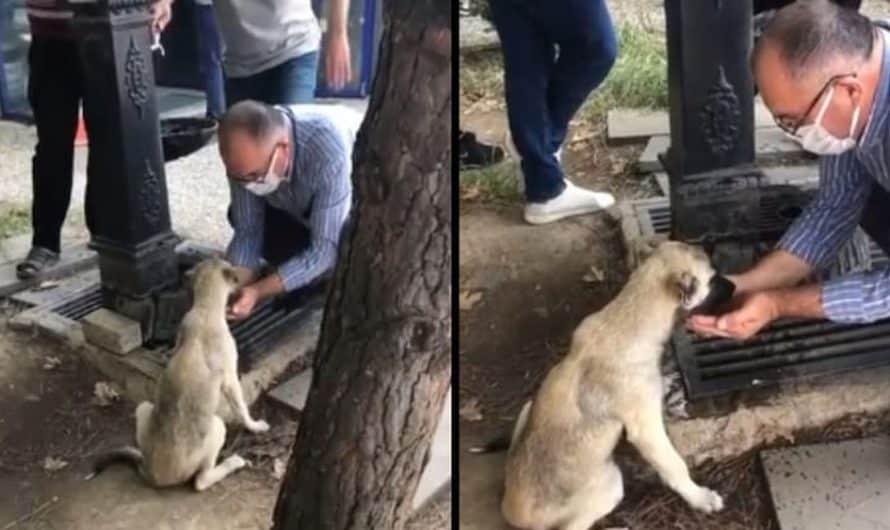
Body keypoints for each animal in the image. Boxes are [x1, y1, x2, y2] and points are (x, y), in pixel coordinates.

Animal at [90, 258, 270, 488]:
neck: (204, 308)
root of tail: (151, 472)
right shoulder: (231, 380)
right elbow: (242, 408)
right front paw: (255, 426)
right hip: (217, 427)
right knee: (201, 481)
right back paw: (233, 463)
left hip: (144, 407)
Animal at [500, 241, 720, 528]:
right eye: (713, 279)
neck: (625, 319)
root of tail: (510, 511)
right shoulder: (646, 429)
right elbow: (675, 466)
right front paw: (700, 497)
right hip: (610, 487)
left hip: (528, 407)